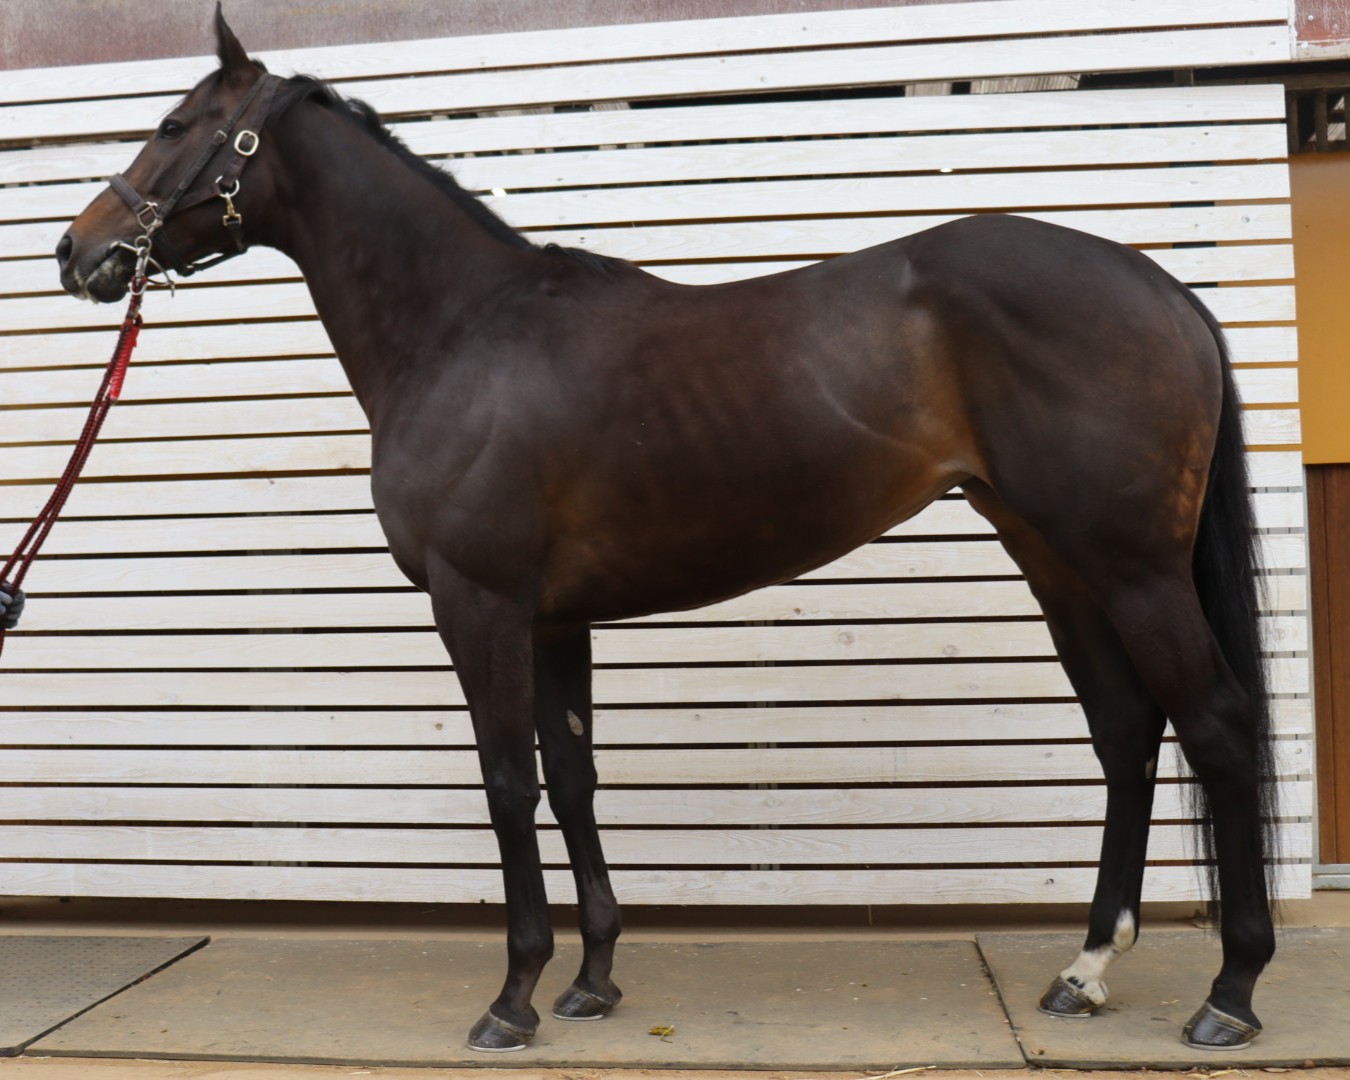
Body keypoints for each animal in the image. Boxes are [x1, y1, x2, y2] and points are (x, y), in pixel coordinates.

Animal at [56, 8, 1278, 1054]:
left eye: (173, 127)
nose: (77, 252)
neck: (462, 333)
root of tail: (1161, 288)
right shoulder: (556, 620)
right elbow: (572, 777)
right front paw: (592, 979)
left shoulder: (479, 605)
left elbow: (507, 782)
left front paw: (512, 998)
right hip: (1060, 564)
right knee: (1127, 733)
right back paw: (1086, 970)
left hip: (1133, 568)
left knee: (1215, 726)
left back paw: (1230, 992)